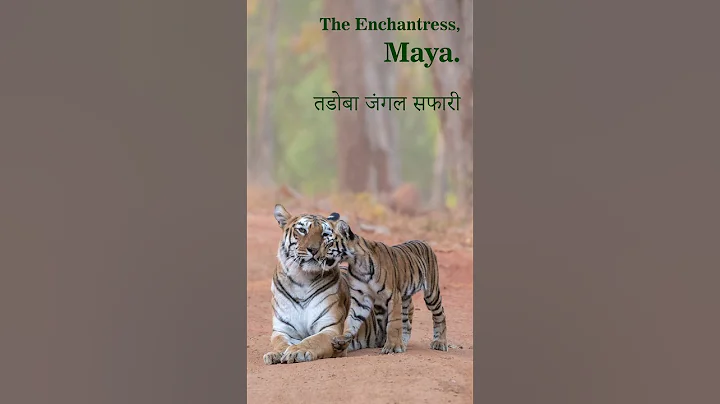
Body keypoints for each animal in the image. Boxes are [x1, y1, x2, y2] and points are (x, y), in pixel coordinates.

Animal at [263, 204, 382, 365]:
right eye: (302, 230)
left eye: (325, 234)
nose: (314, 249)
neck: (302, 278)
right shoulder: (282, 330)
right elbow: (281, 343)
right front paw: (275, 354)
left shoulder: (330, 328)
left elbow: (313, 340)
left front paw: (297, 351)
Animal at [320, 217, 448, 355]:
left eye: (328, 244)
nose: (315, 254)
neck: (356, 263)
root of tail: (424, 242)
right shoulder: (361, 298)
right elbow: (351, 319)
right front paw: (342, 338)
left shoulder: (393, 296)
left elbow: (393, 323)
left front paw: (392, 347)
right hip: (405, 298)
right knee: (406, 323)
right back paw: (403, 343)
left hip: (431, 293)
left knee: (440, 314)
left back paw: (440, 343)